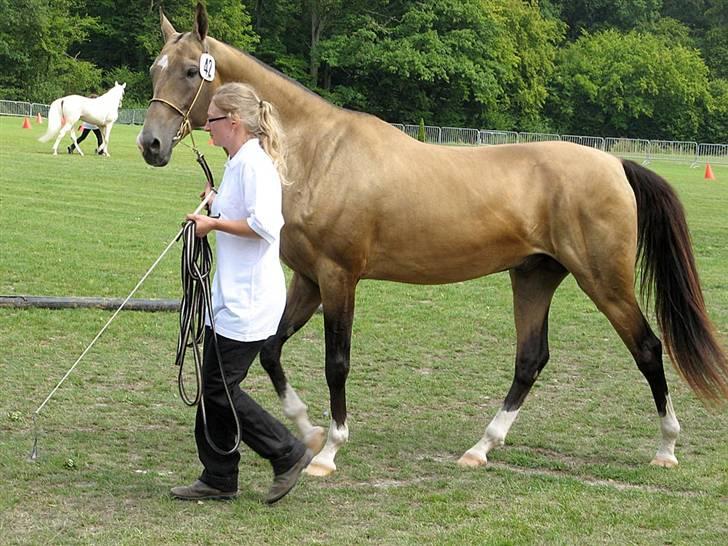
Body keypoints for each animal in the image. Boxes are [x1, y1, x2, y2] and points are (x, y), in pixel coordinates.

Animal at [138, 4, 728, 474]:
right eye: (153, 69)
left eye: (190, 70)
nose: (150, 144)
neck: (317, 154)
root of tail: (615, 163)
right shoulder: (307, 277)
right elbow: (271, 350)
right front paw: (307, 429)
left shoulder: (339, 277)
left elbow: (336, 361)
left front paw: (330, 450)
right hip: (534, 276)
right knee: (530, 359)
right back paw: (481, 447)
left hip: (603, 280)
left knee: (648, 348)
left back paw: (666, 448)